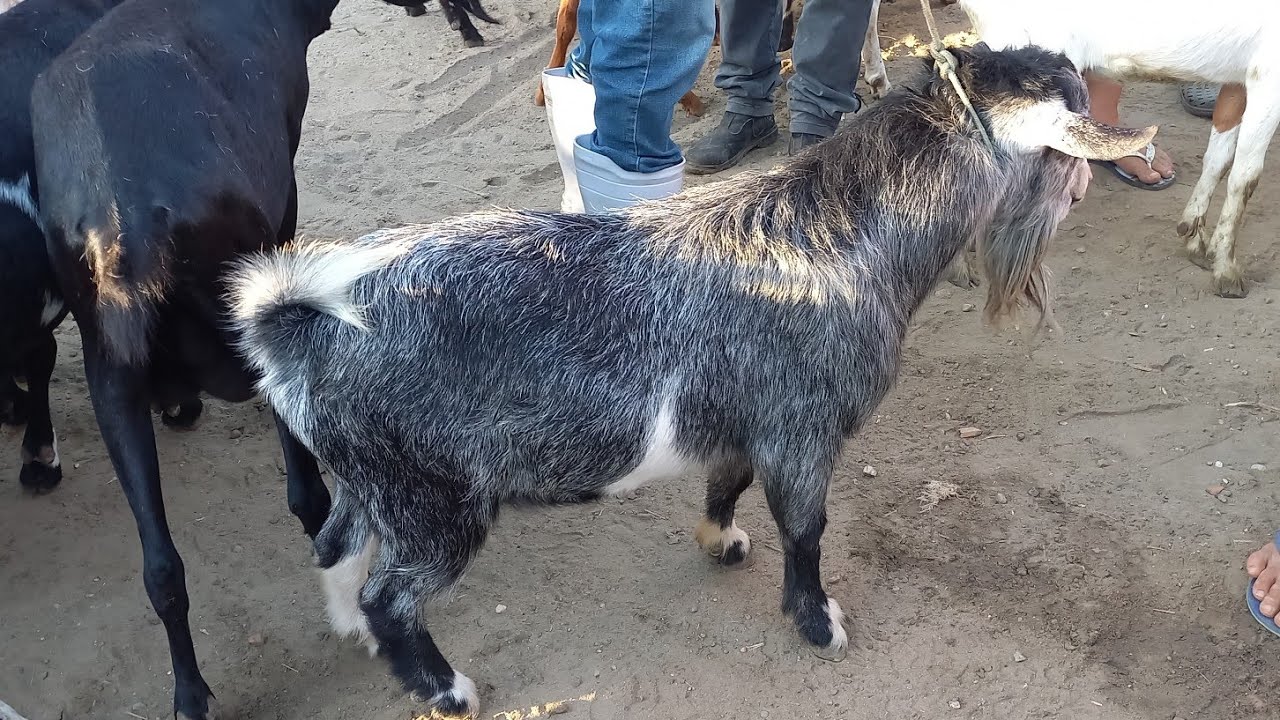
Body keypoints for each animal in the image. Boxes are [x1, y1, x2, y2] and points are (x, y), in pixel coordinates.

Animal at [229, 44, 1154, 718]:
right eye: (1066, 124)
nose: (1079, 192)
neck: (847, 234)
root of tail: (292, 320)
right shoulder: (805, 426)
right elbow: (807, 529)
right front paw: (820, 624)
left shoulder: (747, 419)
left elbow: (728, 484)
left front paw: (721, 544)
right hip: (434, 499)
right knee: (393, 594)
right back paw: (447, 690)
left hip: (371, 476)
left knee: (335, 544)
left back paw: (351, 632)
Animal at [958, 0, 1271, 298]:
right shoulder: (1267, 74)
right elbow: (1246, 178)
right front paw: (1227, 271)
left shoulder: (1238, 79)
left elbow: (1219, 159)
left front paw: (1197, 241)